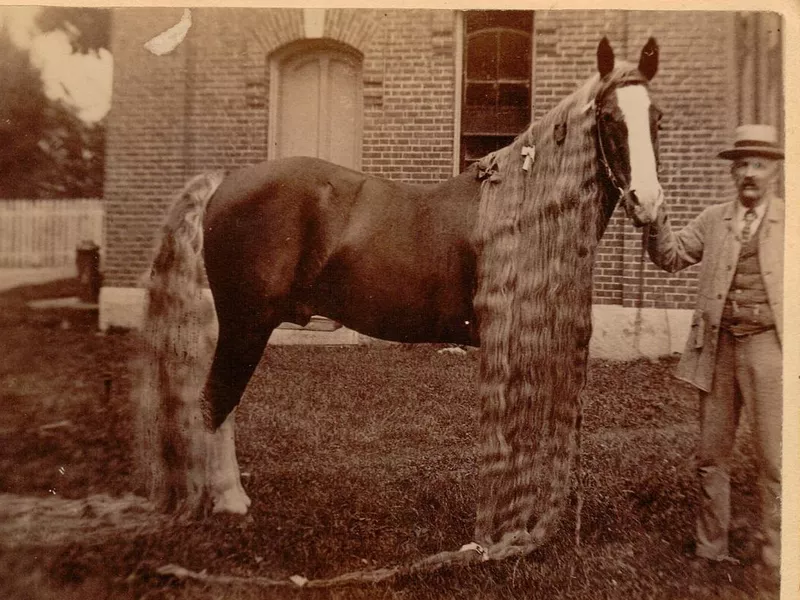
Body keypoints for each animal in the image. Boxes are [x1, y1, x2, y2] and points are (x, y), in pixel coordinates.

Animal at [142, 36, 664, 520]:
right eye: (610, 118)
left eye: (657, 118)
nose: (649, 201)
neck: (523, 209)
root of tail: (226, 181)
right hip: (246, 325)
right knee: (217, 400)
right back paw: (229, 501)